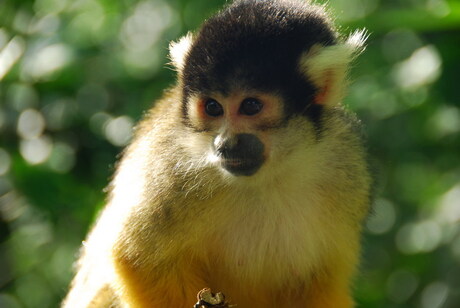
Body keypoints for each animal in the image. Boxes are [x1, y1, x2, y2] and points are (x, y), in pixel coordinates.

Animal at [62, 0, 370, 308]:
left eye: (250, 106)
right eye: (212, 108)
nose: (225, 144)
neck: (271, 173)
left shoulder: (345, 166)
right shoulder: (171, 167)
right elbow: (136, 257)